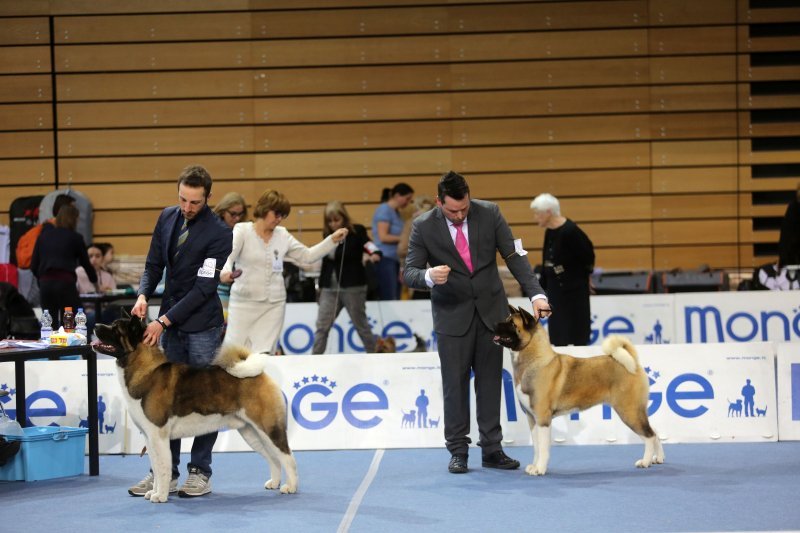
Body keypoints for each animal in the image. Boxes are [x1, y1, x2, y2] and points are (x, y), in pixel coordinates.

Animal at [91, 310, 296, 500]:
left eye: (115, 328)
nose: (96, 326)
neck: (145, 368)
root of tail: (259, 374)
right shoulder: (150, 438)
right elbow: (156, 468)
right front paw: (153, 491)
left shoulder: (158, 436)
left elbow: (163, 469)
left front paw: (161, 496)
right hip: (251, 432)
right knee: (273, 458)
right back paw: (275, 482)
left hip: (268, 428)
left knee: (287, 456)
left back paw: (291, 487)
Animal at [490, 306, 664, 476]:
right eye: (506, 320)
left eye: (512, 324)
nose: (494, 325)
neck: (534, 359)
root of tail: (633, 363)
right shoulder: (532, 418)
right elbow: (537, 447)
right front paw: (534, 466)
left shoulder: (542, 418)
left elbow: (543, 447)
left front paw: (540, 469)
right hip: (635, 411)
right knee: (655, 432)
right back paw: (658, 458)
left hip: (629, 411)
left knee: (649, 436)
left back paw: (645, 462)